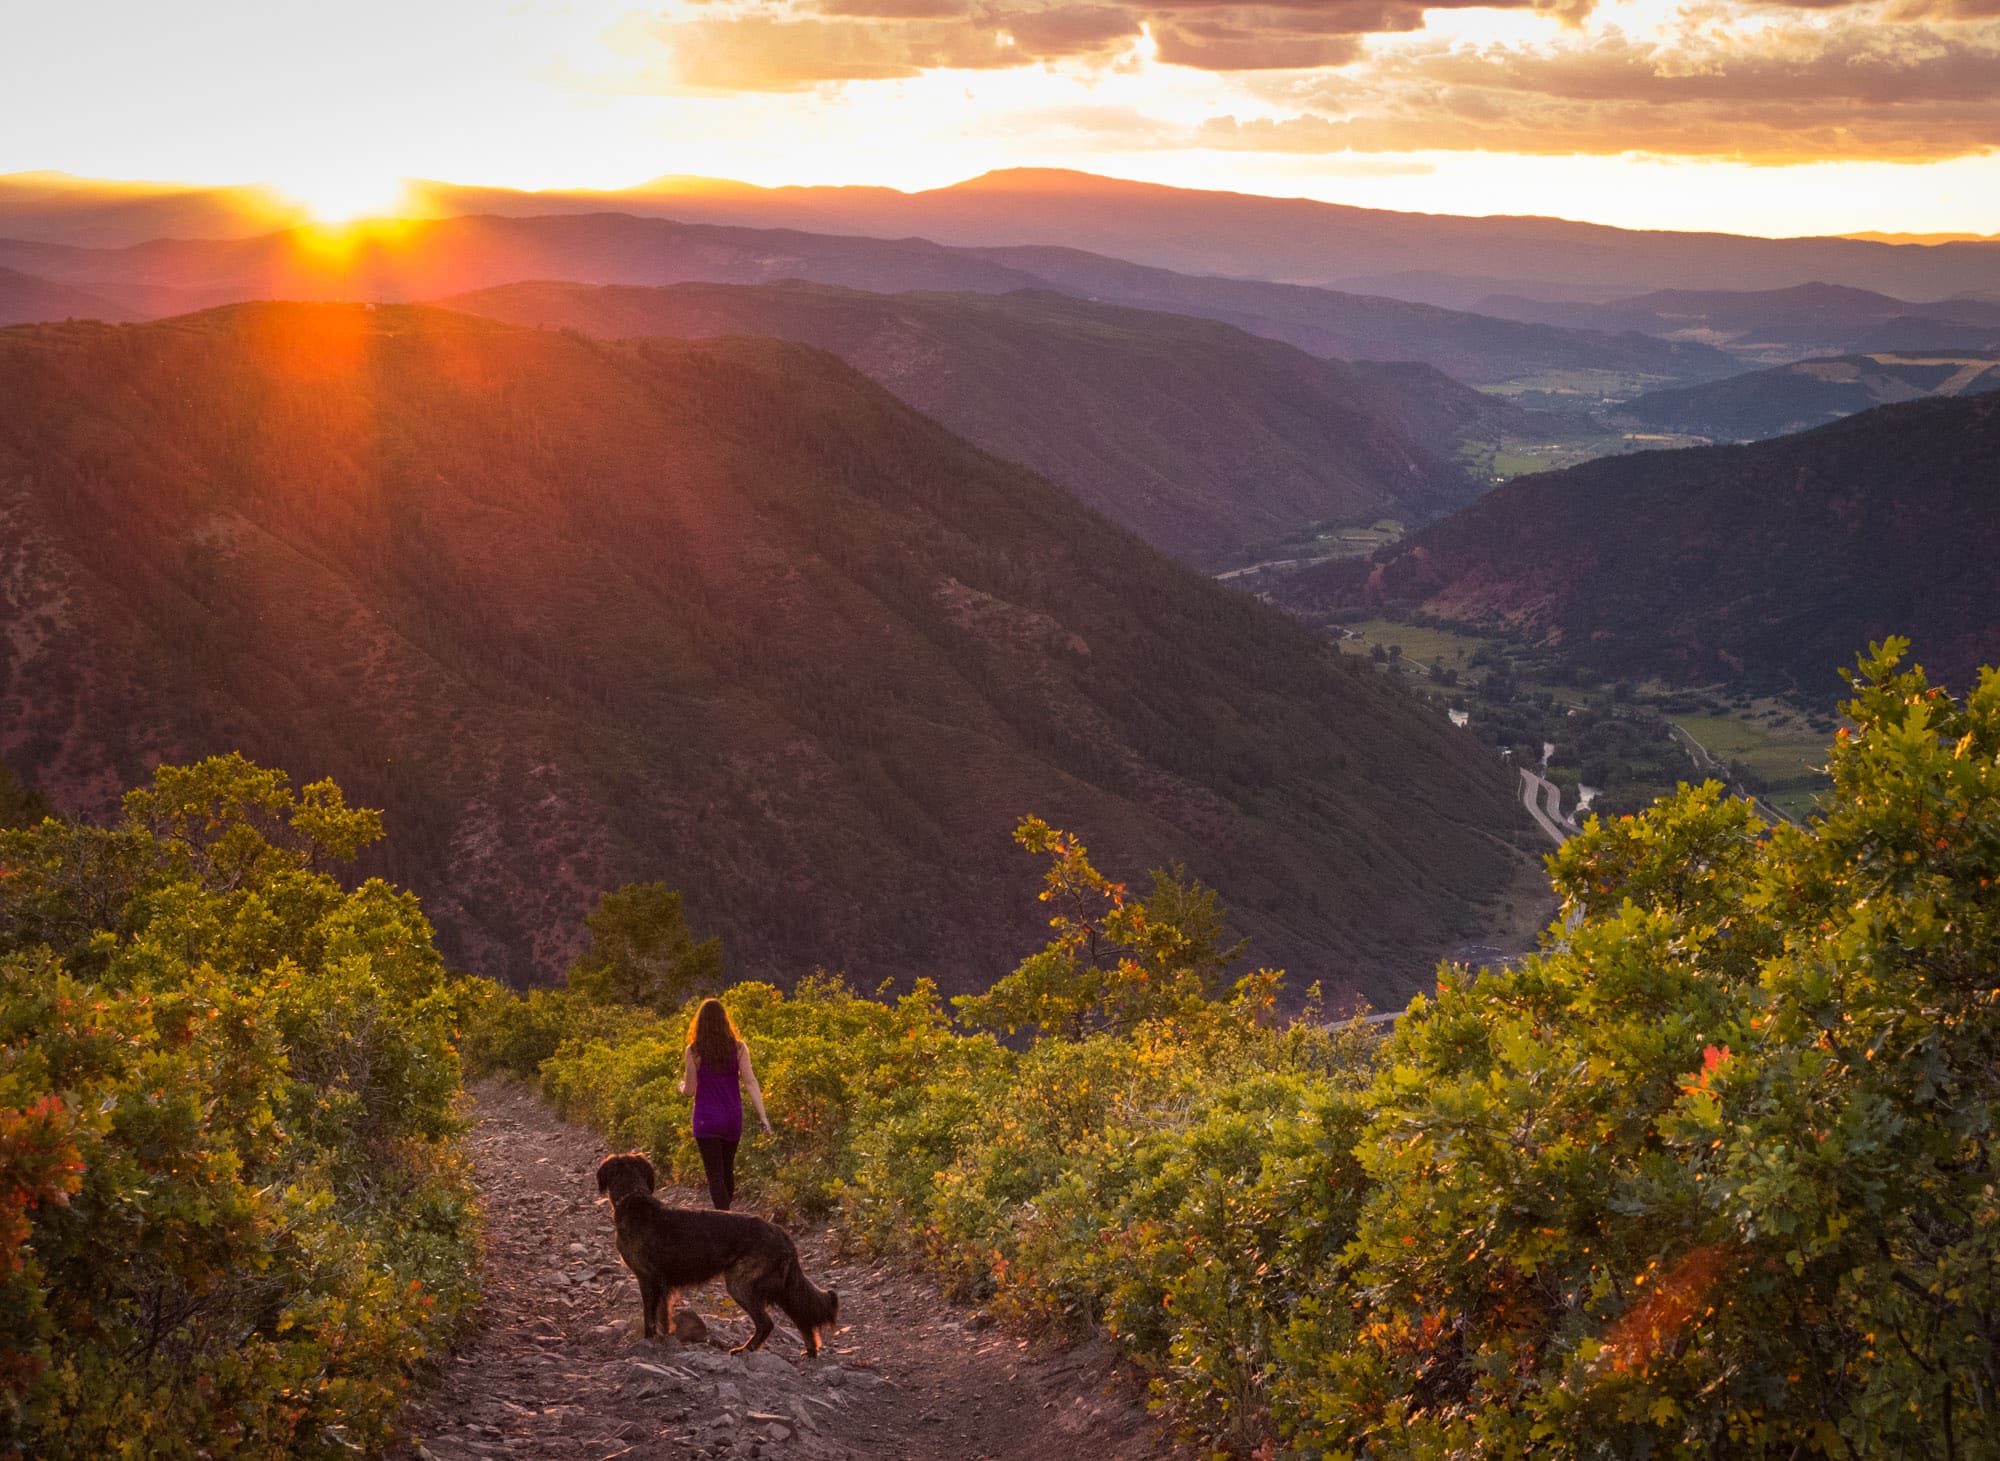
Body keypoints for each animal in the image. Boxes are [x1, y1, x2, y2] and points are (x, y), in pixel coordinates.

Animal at [592, 1152, 844, 1352]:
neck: (632, 1199)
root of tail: (780, 1232)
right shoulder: (663, 1283)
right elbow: (663, 1315)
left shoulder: (648, 1279)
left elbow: (650, 1316)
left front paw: (651, 1340)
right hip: (780, 1286)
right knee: (801, 1314)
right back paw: (809, 1352)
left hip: (740, 1284)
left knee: (767, 1323)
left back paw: (745, 1349)